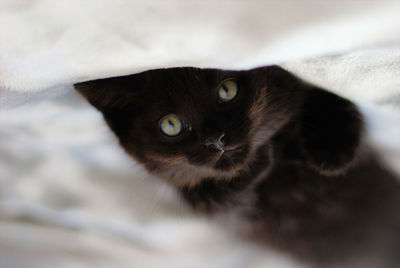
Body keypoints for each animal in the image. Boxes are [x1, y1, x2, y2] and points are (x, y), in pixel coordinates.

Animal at [76, 65, 400, 268]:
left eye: (227, 90)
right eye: (171, 125)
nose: (215, 140)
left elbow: (323, 97)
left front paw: (332, 152)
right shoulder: (204, 205)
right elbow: (214, 197)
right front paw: (261, 159)